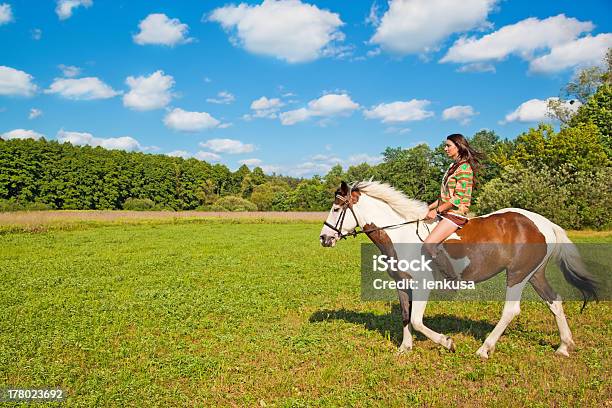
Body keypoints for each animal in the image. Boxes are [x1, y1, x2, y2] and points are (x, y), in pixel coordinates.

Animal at [318, 182, 596, 356]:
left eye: (336, 208)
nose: (324, 239)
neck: (400, 234)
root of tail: (544, 223)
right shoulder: (401, 284)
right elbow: (406, 316)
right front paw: (405, 348)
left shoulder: (422, 285)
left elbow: (417, 320)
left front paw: (447, 343)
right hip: (534, 274)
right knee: (555, 301)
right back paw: (564, 347)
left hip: (517, 275)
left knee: (510, 310)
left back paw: (484, 349)